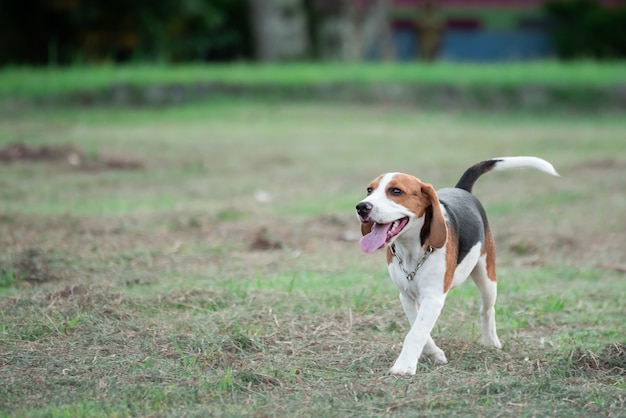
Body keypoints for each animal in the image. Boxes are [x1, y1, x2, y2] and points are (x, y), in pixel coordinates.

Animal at [356, 157, 556, 376]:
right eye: (369, 190)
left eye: (396, 191)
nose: (362, 207)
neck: (412, 250)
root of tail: (461, 189)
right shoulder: (406, 295)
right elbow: (417, 327)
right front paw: (434, 354)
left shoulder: (433, 297)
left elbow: (416, 333)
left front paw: (404, 366)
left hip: (487, 277)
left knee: (487, 309)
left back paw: (491, 341)